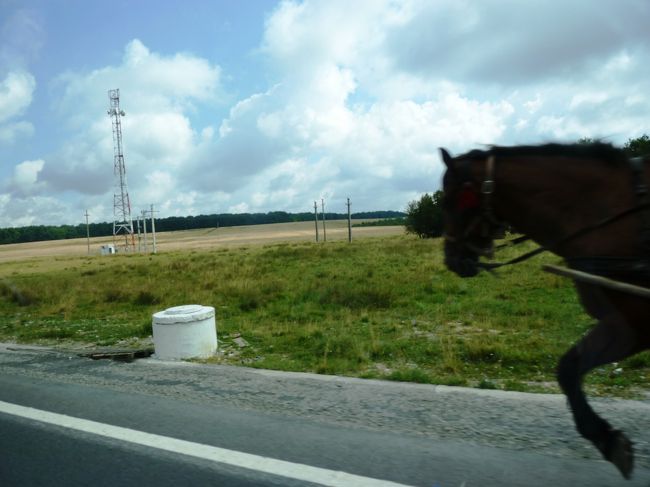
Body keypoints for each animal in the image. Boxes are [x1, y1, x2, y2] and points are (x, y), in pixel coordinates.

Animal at [436, 142, 648, 480]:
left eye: (448, 199)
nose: (452, 260)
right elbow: (568, 369)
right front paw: (607, 439)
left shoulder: (633, 323)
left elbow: (568, 369)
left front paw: (607, 439)